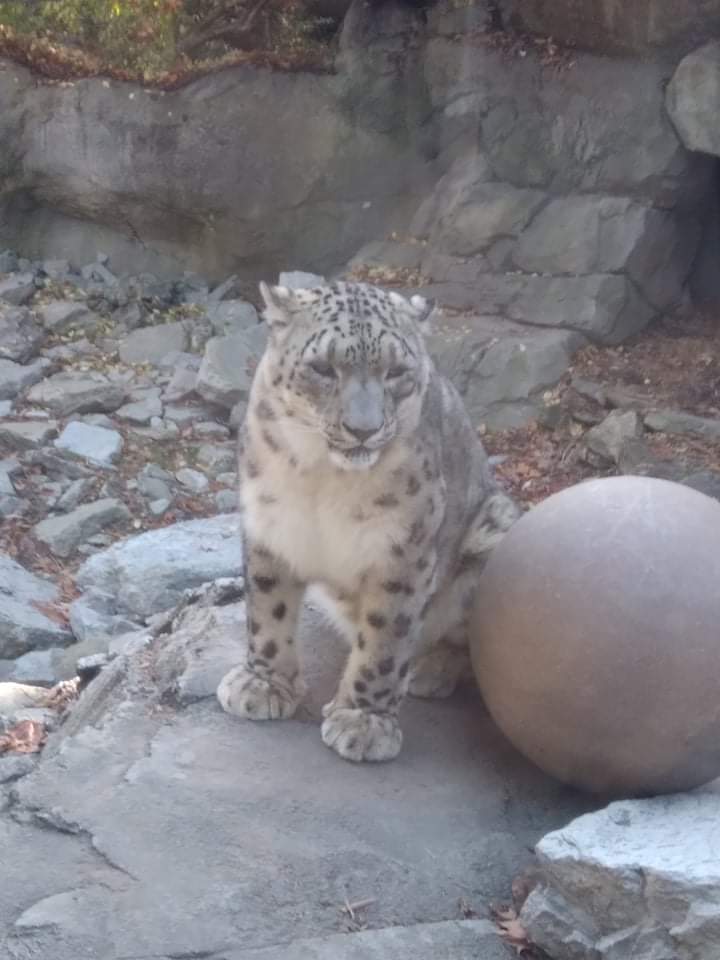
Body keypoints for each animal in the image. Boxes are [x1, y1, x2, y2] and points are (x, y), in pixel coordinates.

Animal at [217, 279, 520, 762]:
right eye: (323, 367)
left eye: (395, 371)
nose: (363, 429)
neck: (321, 476)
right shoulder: (268, 525)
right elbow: (267, 607)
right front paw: (263, 683)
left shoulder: (403, 551)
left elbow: (385, 640)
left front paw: (363, 721)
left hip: (497, 530)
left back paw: (430, 669)